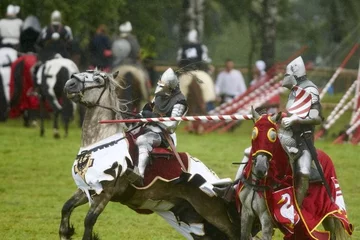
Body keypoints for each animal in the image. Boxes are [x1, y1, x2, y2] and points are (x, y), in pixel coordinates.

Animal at [60, 69, 240, 240]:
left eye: (97, 80)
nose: (69, 84)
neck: (101, 141)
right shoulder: (88, 189)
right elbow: (66, 209)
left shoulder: (105, 192)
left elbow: (89, 222)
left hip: (210, 209)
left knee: (233, 232)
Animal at [238, 109, 352, 240]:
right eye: (254, 134)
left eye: (273, 136)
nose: (260, 168)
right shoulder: (246, 214)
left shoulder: (266, 220)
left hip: (329, 213)